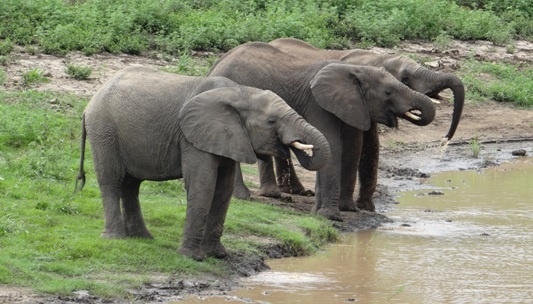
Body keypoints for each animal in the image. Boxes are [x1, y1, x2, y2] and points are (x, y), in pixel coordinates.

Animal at [75, 67, 328, 262]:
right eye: (272, 121)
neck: (241, 92)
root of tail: (89, 105)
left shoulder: (228, 137)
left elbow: (223, 189)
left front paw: (218, 255)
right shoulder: (192, 138)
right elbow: (203, 184)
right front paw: (192, 257)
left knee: (131, 185)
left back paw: (142, 238)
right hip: (104, 132)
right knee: (112, 181)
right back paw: (115, 238)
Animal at [208, 41, 436, 220]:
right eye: (388, 92)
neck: (354, 69)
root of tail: (216, 65)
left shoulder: (352, 105)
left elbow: (353, 148)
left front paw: (346, 209)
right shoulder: (318, 105)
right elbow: (333, 145)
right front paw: (331, 216)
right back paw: (244, 196)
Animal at [256, 38, 462, 213]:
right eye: (405, 78)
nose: (445, 140)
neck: (375, 58)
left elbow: (368, 146)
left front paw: (366, 208)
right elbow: (363, 145)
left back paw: (296, 191)